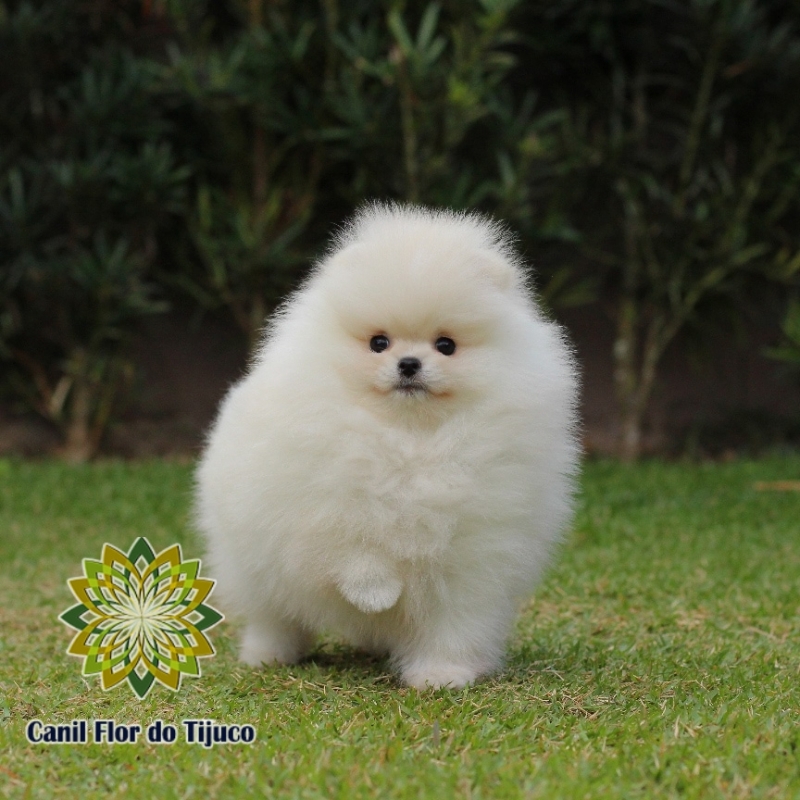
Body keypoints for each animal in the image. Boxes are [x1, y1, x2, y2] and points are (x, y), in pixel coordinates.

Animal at [196, 205, 580, 688]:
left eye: (446, 345)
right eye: (379, 342)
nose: (409, 363)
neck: (408, 437)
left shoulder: (475, 549)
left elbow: (450, 617)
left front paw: (439, 672)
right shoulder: (320, 495)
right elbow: (355, 544)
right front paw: (374, 593)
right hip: (255, 564)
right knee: (277, 615)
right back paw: (268, 655)